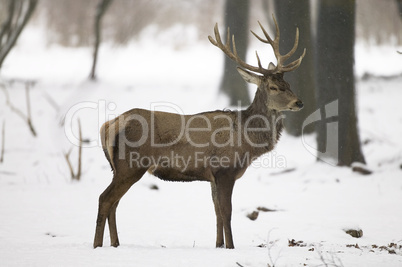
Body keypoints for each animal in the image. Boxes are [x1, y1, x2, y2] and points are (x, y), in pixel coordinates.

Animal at [94, 16, 306, 250]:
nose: (299, 102)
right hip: (130, 165)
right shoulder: (225, 170)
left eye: (288, 83)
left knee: (114, 202)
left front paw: (219, 245)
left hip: (118, 168)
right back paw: (97, 245)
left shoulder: (212, 176)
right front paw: (231, 247)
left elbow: (217, 212)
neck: (247, 140)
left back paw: (115, 244)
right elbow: (227, 212)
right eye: (273, 87)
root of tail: (109, 125)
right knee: (105, 198)